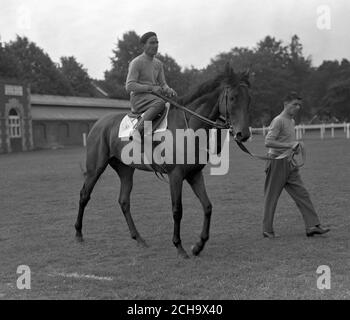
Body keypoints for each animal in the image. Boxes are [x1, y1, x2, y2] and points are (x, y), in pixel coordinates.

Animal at [75, 63, 252, 258]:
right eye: (233, 98)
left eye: (249, 100)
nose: (243, 134)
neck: (188, 126)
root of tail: (99, 123)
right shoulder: (176, 175)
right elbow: (177, 210)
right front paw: (179, 246)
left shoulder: (194, 174)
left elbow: (207, 206)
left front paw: (198, 245)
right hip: (95, 168)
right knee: (84, 195)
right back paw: (78, 234)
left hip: (125, 170)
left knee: (124, 201)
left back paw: (139, 238)